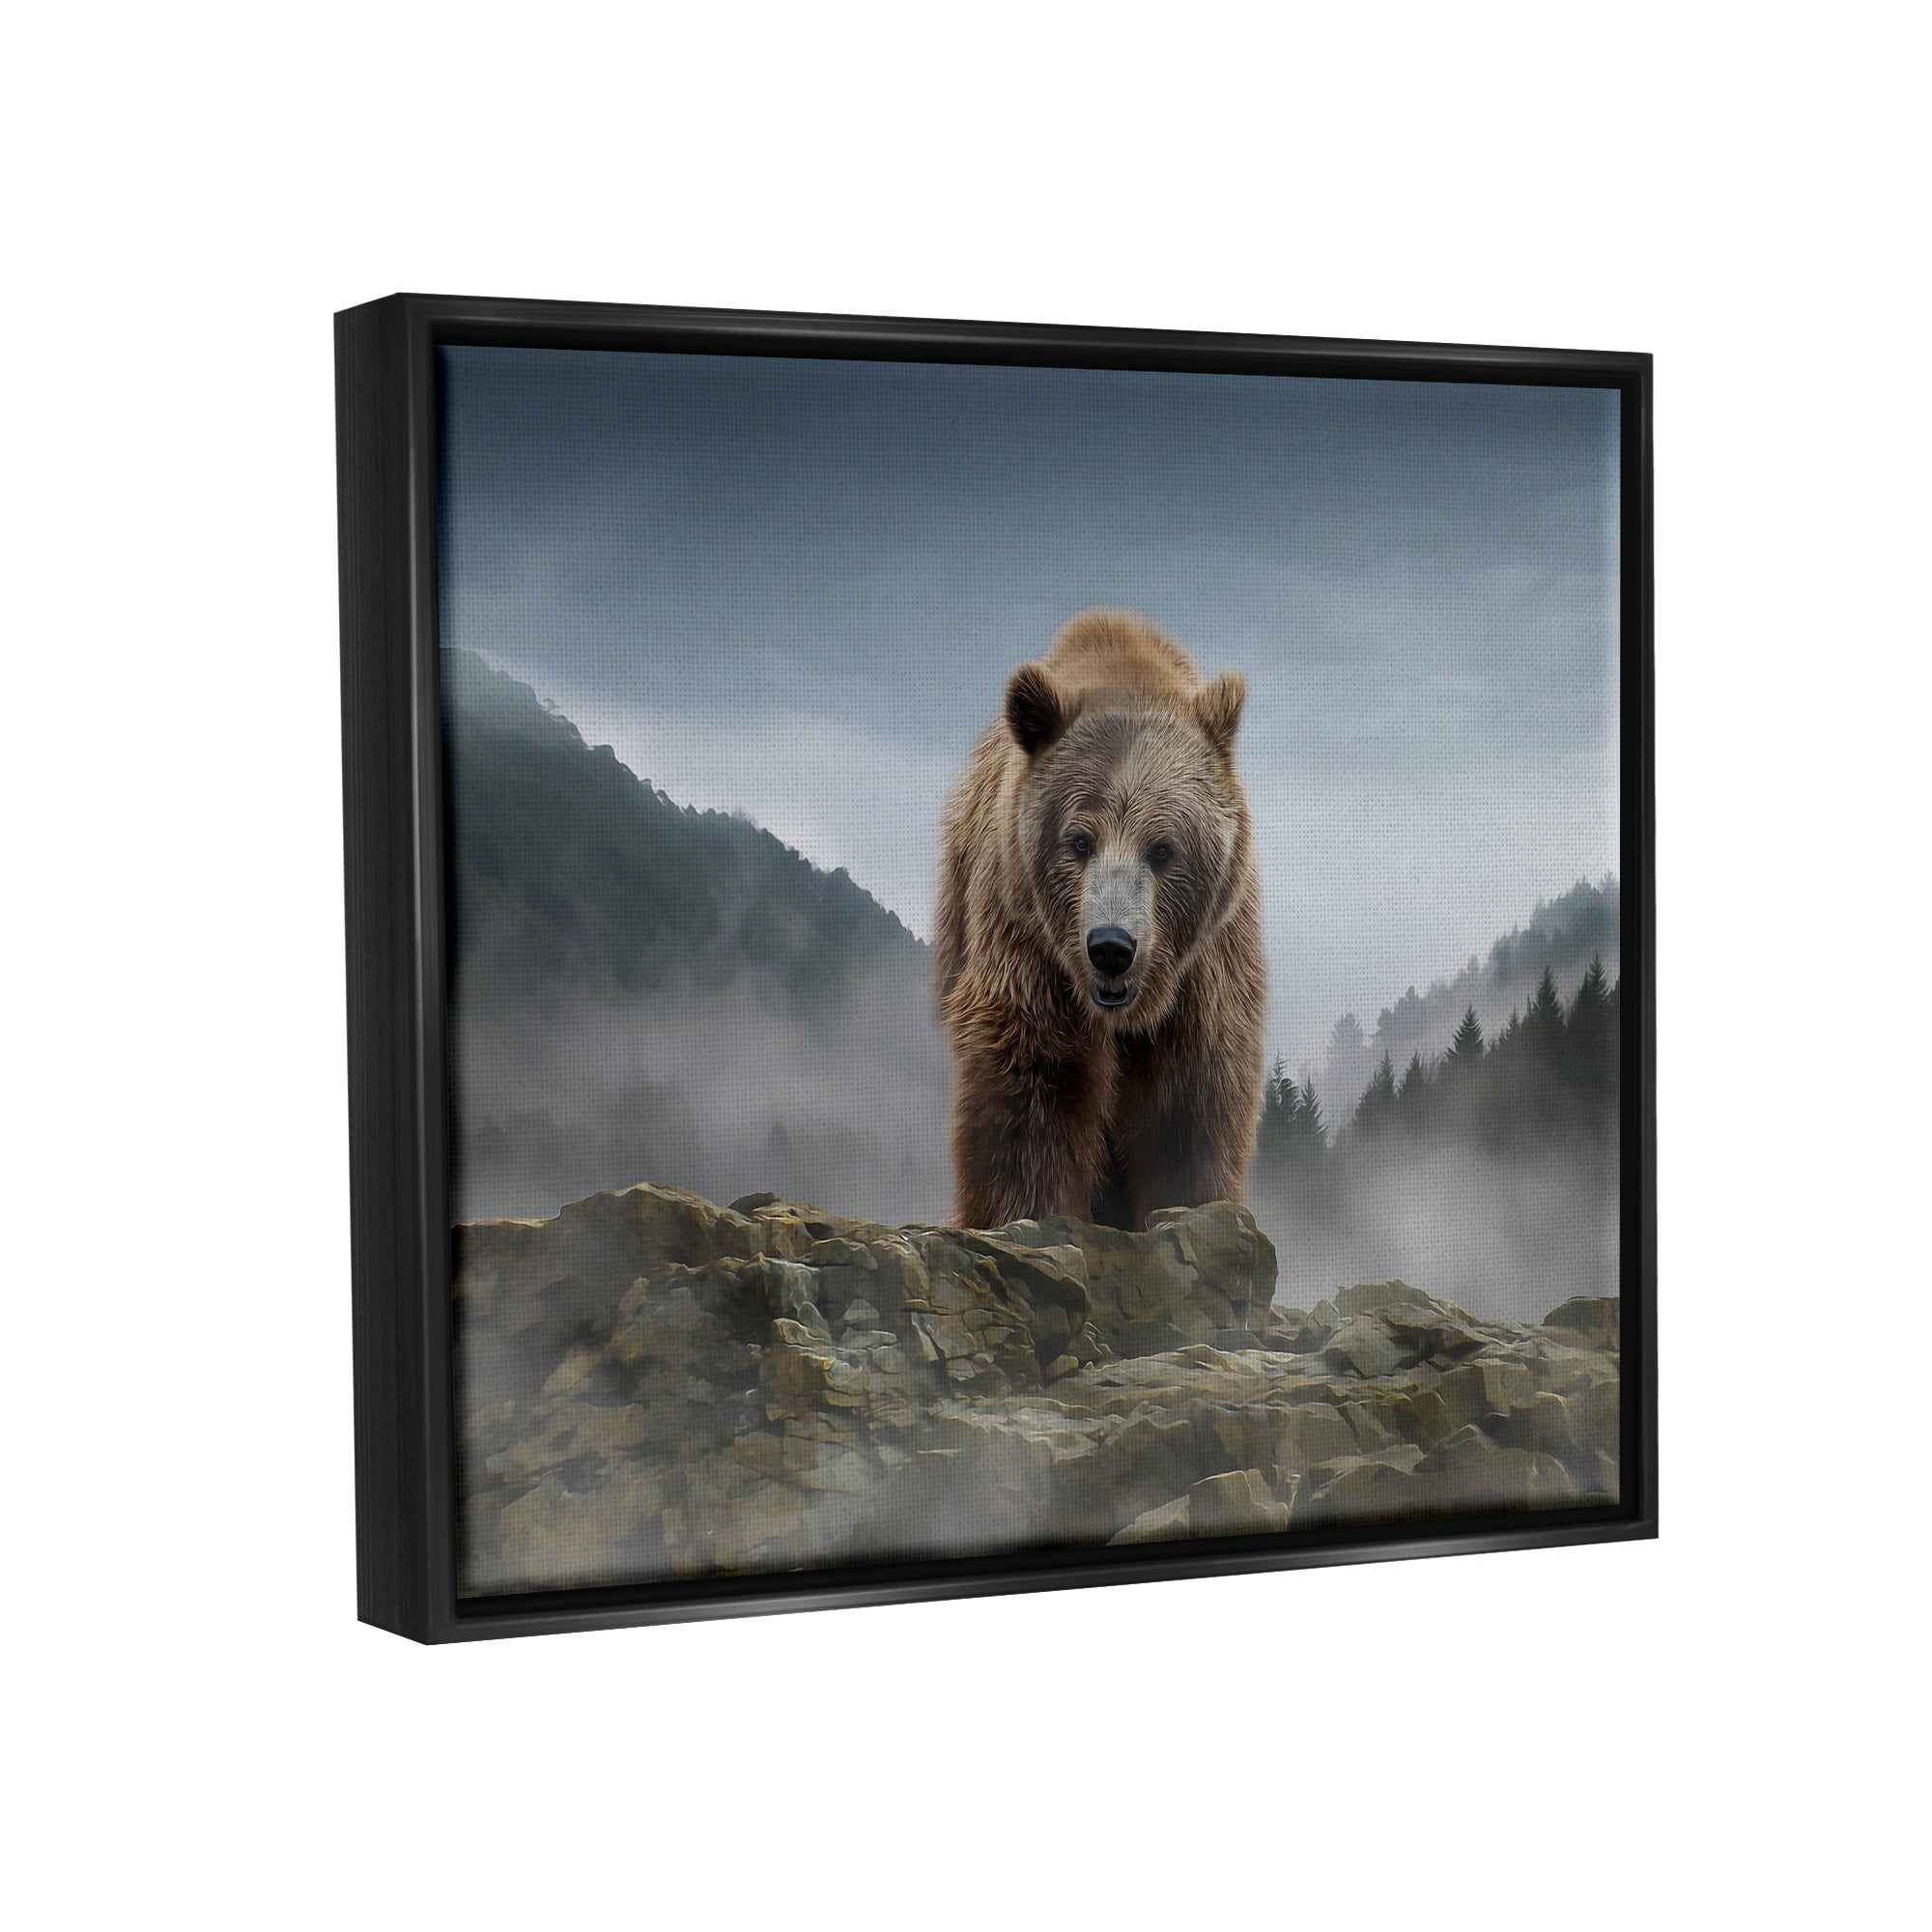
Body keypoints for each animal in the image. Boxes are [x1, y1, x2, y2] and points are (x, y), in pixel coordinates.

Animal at [934, 609, 1267, 1231]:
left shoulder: (1205, 969)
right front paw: (1027, 1211)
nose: (1112, 947)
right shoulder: (1027, 940)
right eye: (1079, 841)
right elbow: (1035, 1080)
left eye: (1163, 849)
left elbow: (1191, 1103)